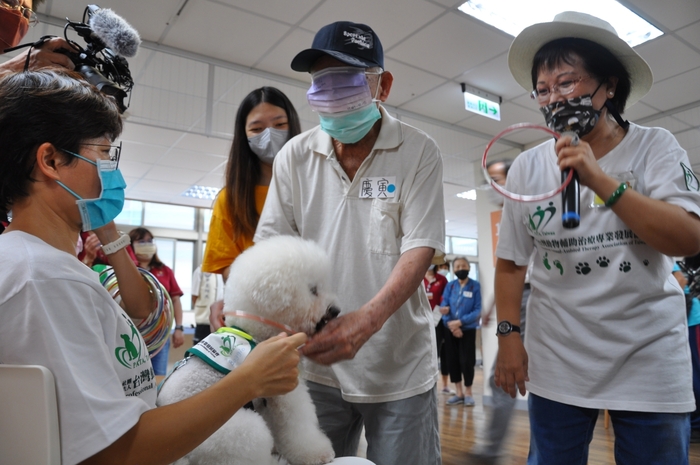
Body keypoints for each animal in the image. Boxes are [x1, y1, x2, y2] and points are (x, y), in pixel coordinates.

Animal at [159, 236, 344, 464]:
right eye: (313, 290)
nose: (336, 310)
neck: (256, 332)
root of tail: (180, 458)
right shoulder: (285, 388)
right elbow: (298, 422)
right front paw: (317, 452)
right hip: (235, 431)